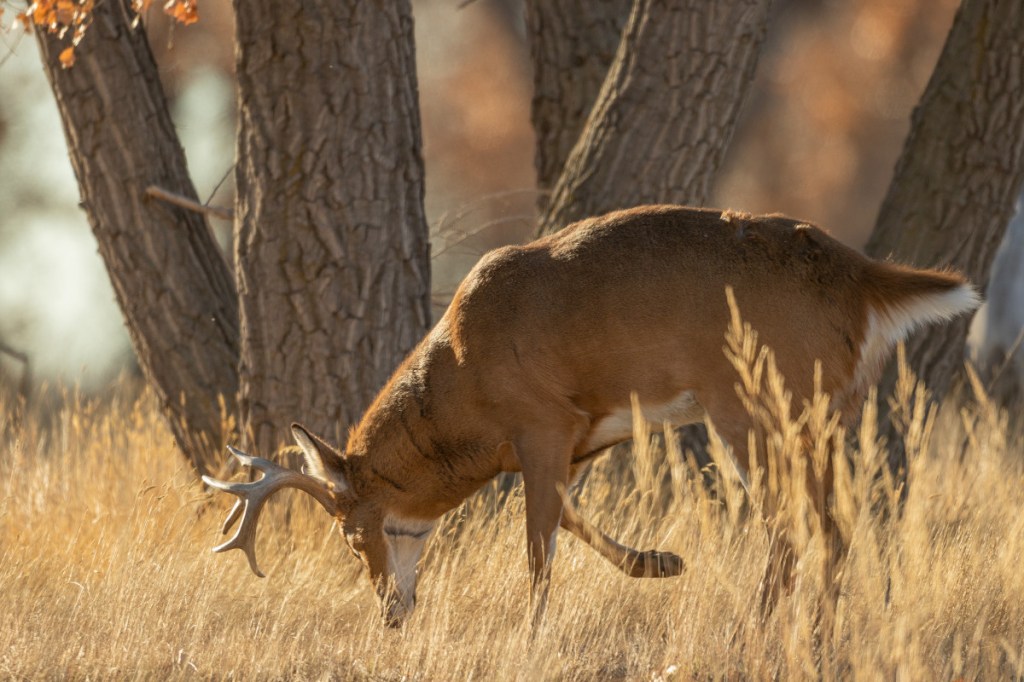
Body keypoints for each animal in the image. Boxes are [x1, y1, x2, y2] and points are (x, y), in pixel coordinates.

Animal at [203, 205, 980, 627]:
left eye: (348, 532)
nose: (391, 613)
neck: (463, 379)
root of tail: (864, 279)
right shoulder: (582, 433)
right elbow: (571, 520)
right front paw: (662, 562)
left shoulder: (540, 421)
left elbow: (538, 548)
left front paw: (532, 635)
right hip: (828, 411)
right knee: (838, 520)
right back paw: (818, 630)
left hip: (756, 402)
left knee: (795, 521)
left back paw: (759, 628)